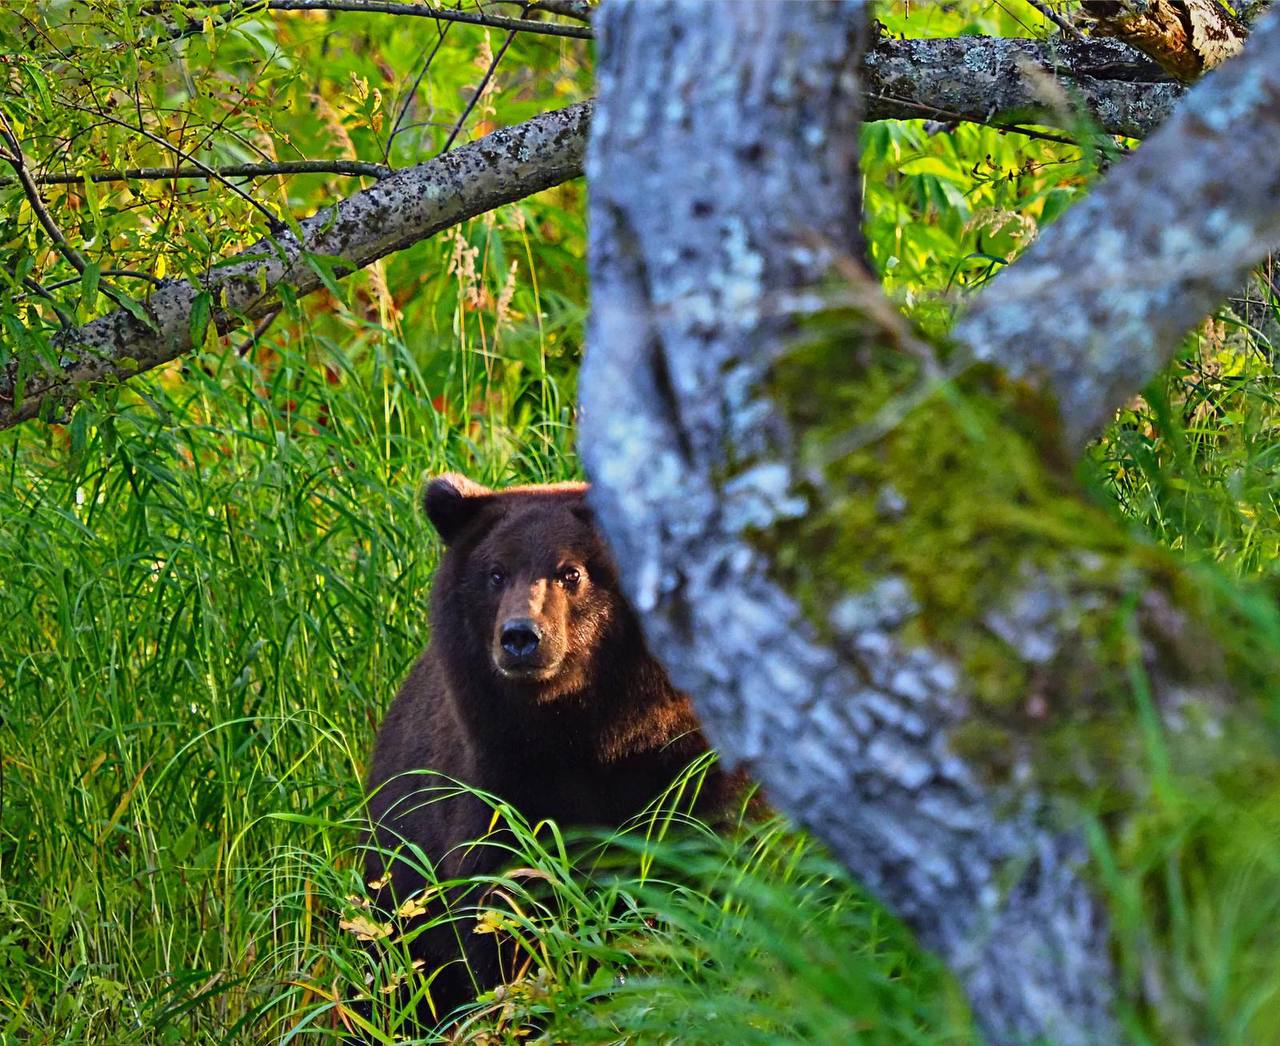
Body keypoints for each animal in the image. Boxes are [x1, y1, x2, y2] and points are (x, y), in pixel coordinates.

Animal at [363, 474, 742, 1025]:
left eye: (572, 572)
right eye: (495, 573)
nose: (520, 637)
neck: (593, 734)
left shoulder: (685, 768)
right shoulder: (504, 780)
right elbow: (502, 908)